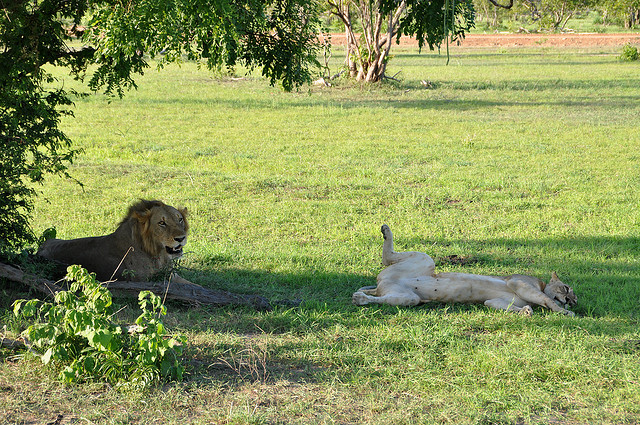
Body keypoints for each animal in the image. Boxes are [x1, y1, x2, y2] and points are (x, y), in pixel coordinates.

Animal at [37, 200, 191, 283]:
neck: (158, 254)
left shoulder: (172, 276)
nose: (181, 238)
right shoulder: (147, 281)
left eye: (180, 219)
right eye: (162, 223)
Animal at [352, 225, 577, 315]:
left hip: (408, 298)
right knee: (387, 257)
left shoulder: (494, 301)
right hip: (424, 259)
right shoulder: (519, 282)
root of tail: (382, 284)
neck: (541, 284)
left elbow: (496, 304)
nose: (572, 301)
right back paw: (386, 230)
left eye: (575, 298)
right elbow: (547, 299)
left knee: (381, 297)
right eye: (566, 288)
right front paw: (564, 311)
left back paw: (360, 298)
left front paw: (525, 311)